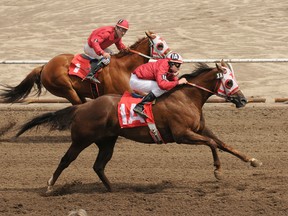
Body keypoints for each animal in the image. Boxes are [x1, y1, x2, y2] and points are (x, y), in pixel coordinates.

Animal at [16, 60, 264, 192]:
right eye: (229, 81)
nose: (243, 100)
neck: (187, 97)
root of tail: (81, 107)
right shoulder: (182, 135)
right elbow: (212, 144)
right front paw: (218, 171)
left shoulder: (200, 129)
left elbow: (224, 144)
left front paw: (253, 160)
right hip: (81, 140)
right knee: (66, 160)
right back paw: (50, 185)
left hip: (107, 141)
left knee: (99, 165)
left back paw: (112, 189)